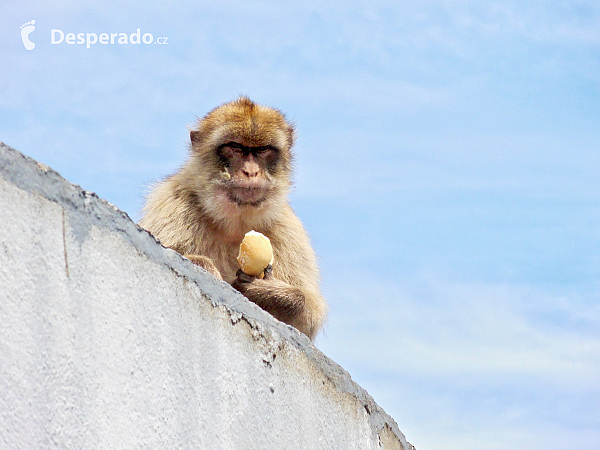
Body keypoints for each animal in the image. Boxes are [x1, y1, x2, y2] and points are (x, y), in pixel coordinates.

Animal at [139, 96, 328, 340]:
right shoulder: (172, 203)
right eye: (235, 148)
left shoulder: (288, 227)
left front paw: (271, 293)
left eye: (263, 150)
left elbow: (308, 317)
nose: (250, 172)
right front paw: (205, 267)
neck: (236, 221)